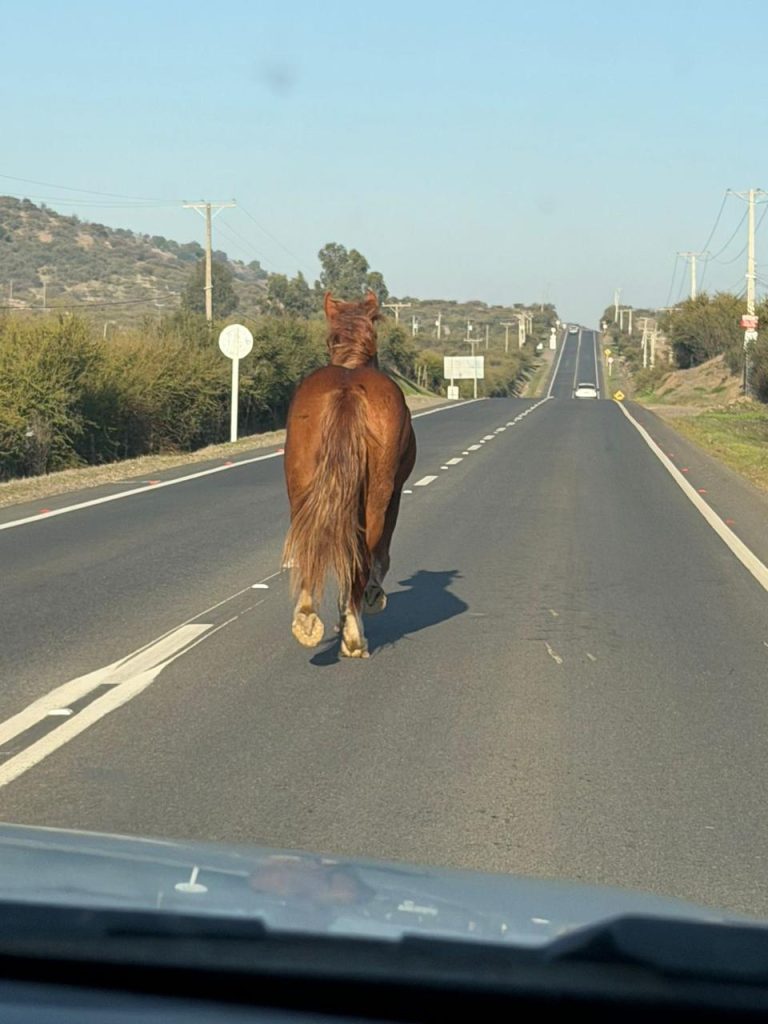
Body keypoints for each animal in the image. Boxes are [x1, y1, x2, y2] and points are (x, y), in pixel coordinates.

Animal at [282, 290, 417, 658]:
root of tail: (347, 390)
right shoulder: (395, 495)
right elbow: (380, 555)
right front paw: (369, 600)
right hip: (377, 499)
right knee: (361, 555)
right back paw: (355, 633)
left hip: (302, 490)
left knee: (310, 543)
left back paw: (307, 620)